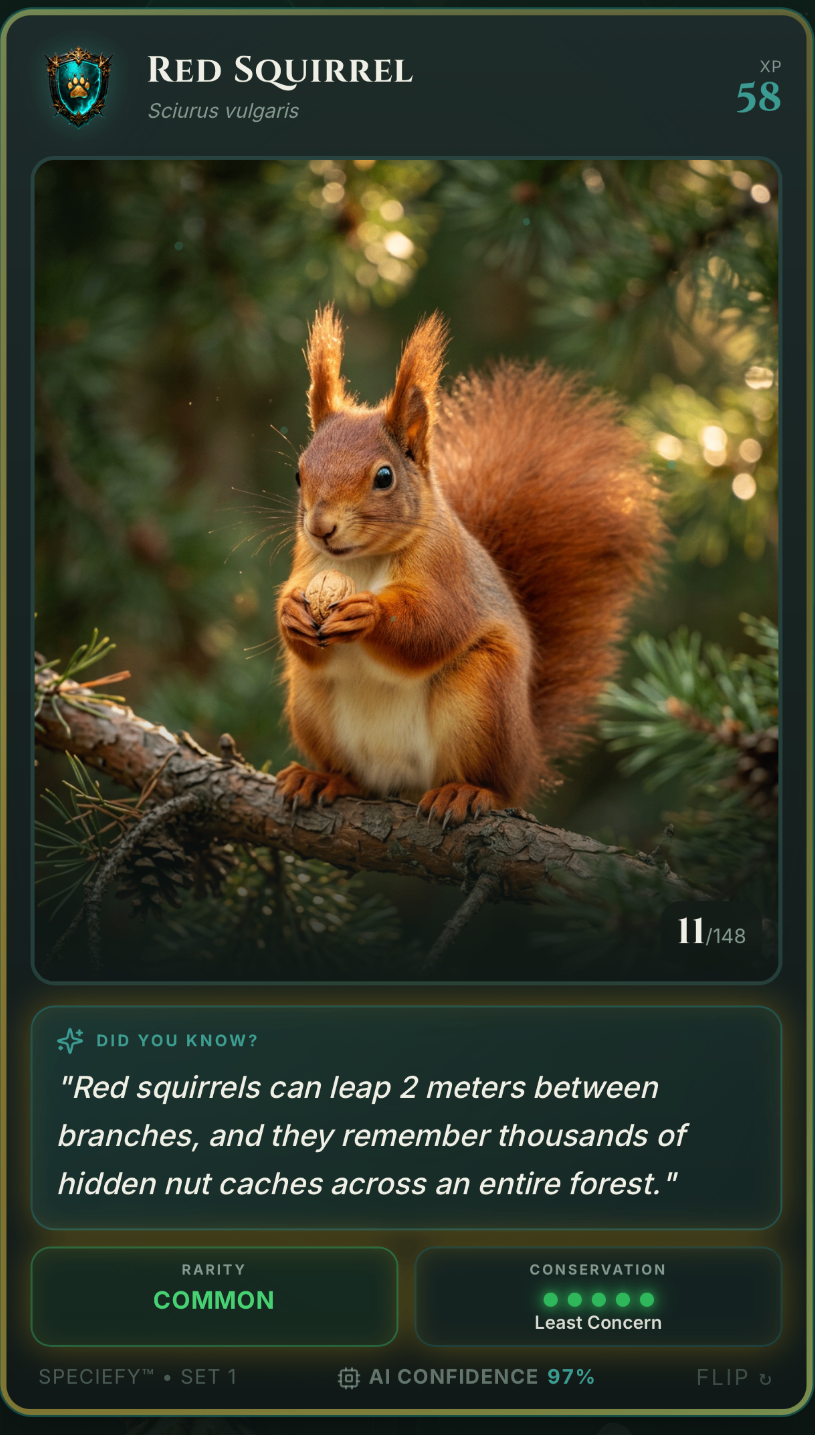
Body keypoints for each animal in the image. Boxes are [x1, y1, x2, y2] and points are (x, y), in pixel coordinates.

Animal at [276, 306, 665, 827]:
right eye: (299, 473)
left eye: (384, 477)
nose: (320, 527)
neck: (361, 562)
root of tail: (529, 753)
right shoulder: (307, 562)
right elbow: (300, 625)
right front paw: (291, 614)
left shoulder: (448, 568)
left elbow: (435, 625)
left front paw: (369, 613)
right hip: (311, 701)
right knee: (353, 772)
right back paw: (324, 778)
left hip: (482, 699)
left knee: (495, 783)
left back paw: (466, 792)